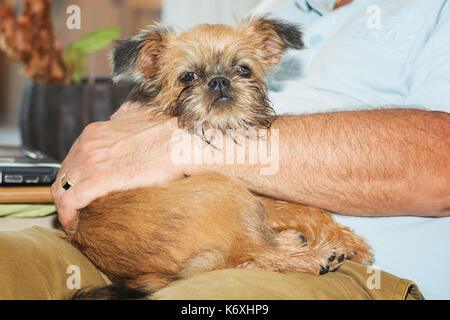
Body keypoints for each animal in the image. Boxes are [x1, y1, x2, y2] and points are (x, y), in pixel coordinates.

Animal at [67, 17, 372, 298]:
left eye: (244, 69)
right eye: (188, 76)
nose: (219, 81)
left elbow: (309, 209)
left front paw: (347, 239)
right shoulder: (255, 197)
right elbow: (301, 209)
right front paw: (343, 242)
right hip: (228, 191)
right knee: (254, 257)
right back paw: (314, 257)